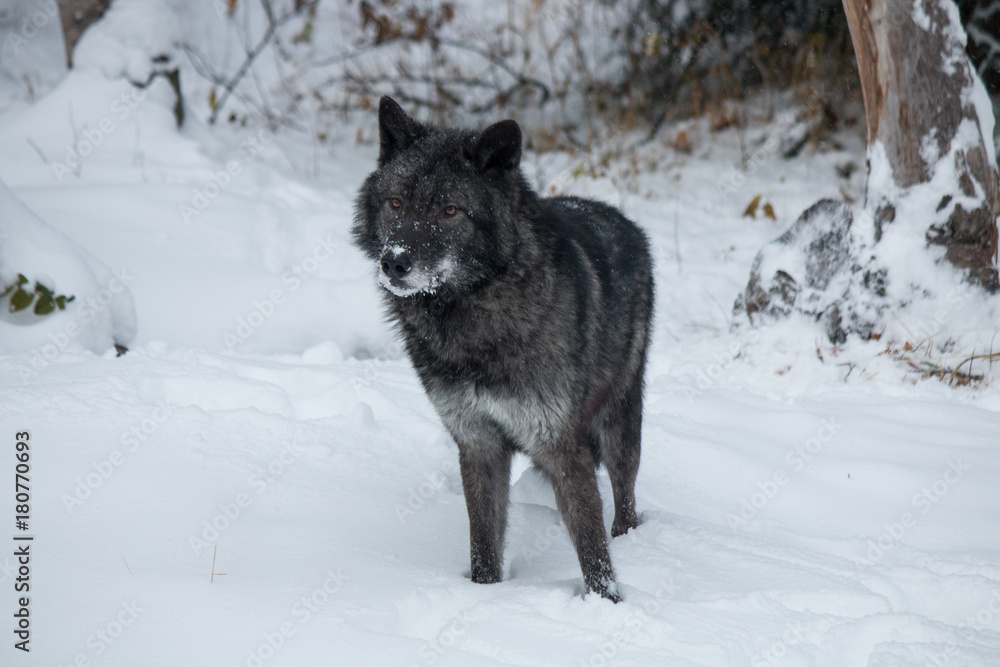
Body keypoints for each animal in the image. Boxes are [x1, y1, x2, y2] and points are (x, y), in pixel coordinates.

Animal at [353, 97, 654, 602]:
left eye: (450, 210)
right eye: (396, 203)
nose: (394, 262)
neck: (471, 317)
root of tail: (623, 219)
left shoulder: (559, 444)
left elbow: (592, 548)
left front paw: (607, 603)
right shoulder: (477, 442)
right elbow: (484, 541)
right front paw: (484, 594)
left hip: (619, 422)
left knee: (624, 498)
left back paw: (632, 539)